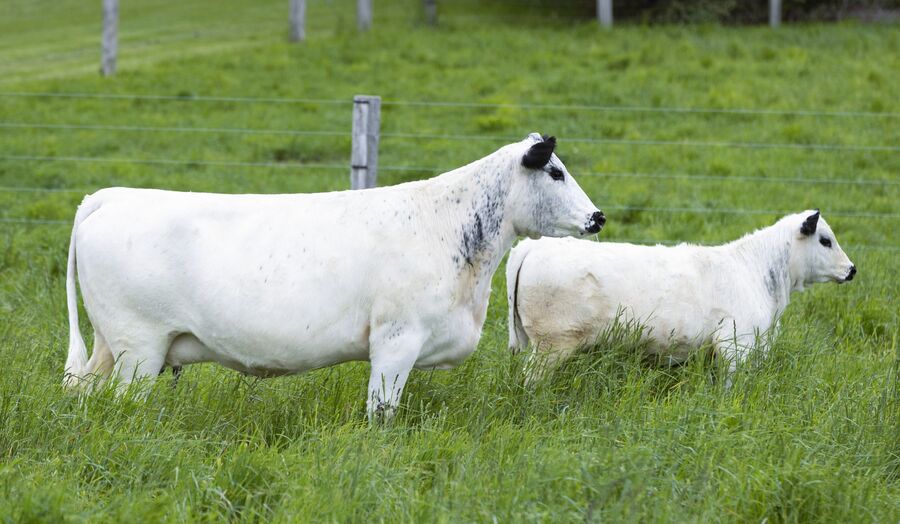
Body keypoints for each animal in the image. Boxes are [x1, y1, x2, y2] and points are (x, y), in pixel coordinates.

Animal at [63, 133, 605, 421]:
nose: (597, 217)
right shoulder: (396, 341)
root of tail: (111, 196)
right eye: (555, 171)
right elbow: (381, 411)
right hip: (139, 347)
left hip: (112, 348)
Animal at [506, 210, 856, 385]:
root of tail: (533, 246)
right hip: (551, 345)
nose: (851, 270)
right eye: (825, 240)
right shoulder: (735, 349)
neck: (755, 270)